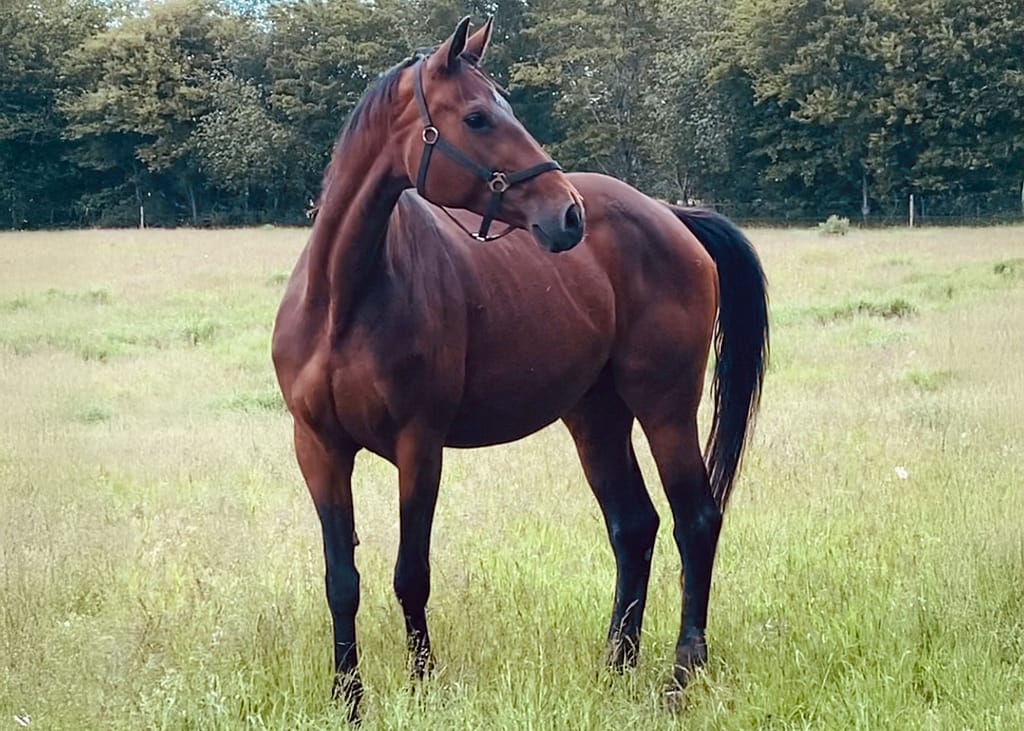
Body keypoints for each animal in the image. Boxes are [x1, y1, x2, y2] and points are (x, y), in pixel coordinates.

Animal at [272, 17, 769, 722]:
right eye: (477, 117)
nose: (567, 214)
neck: (344, 297)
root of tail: (672, 216)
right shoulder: (318, 448)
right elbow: (342, 580)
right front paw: (349, 699)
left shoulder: (419, 447)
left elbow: (411, 574)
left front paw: (423, 687)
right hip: (595, 415)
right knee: (635, 526)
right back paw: (614, 669)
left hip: (665, 406)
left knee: (695, 520)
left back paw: (680, 677)